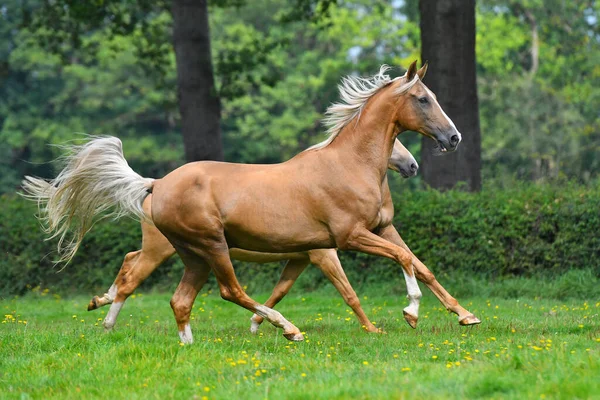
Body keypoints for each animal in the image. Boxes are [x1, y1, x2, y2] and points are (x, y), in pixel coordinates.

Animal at [23, 61, 476, 342]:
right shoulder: (345, 239)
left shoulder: (379, 228)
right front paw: (407, 314)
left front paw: (465, 315)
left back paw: (185, 343)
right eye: (423, 99)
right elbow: (379, 274)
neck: (350, 163)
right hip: (209, 246)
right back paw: (288, 329)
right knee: (224, 290)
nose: (454, 138)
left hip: (193, 254)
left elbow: (420, 264)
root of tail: (156, 184)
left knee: (176, 297)